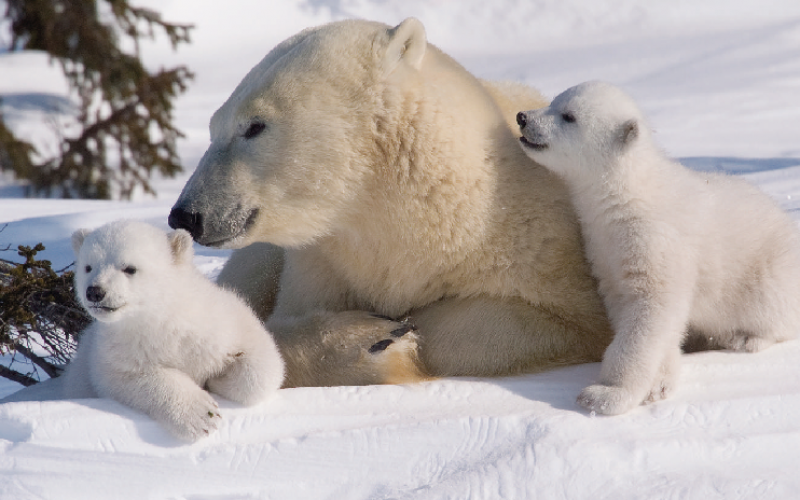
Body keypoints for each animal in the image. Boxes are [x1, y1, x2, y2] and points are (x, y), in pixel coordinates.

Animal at [64, 221, 286, 440]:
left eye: (130, 268)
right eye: (88, 267)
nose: (95, 292)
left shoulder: (219, 323)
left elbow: (261, 361)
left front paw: (218, 380)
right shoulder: (115, 352)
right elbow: (130, 379)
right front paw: (202, 414)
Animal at [169, 17, 612, 386]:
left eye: (254, 126)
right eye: (213, 126)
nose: (186, 214)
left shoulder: (539, 247)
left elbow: (551, 321)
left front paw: (397, 336)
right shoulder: (324, 263)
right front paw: (371, 338)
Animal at [516, 81, 800, 414]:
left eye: (569, 116)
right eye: (553, 101)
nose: (522, 117)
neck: (629, 195)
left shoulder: (655, 240)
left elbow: (650, 309)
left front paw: (605, 394)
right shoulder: (605, 249)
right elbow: (634, 309)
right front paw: (659, 384)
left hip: (769, 271)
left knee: (771, 306)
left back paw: (747, 338)